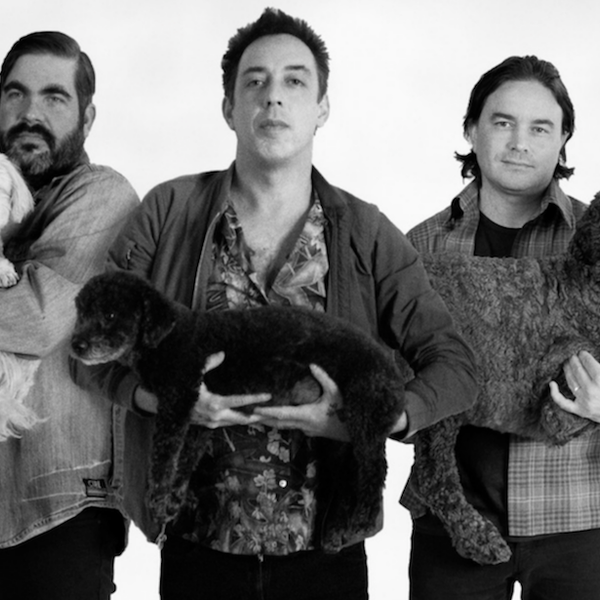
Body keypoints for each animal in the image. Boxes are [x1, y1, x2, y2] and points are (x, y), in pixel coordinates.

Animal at [70, 271, 405, 551]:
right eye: (81, 312)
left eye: (110, 314)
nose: (76, 345)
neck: (167, 339)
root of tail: (391, 369)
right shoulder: (198, 417)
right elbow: (186, 459)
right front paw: (173, 500)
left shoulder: (177, 400)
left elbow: (163, 458)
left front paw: (157, 498)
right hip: (339, 438)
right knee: (349, 480)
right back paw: (336, 531)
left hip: (364, 414)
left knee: (375, 471)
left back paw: (362, 520)